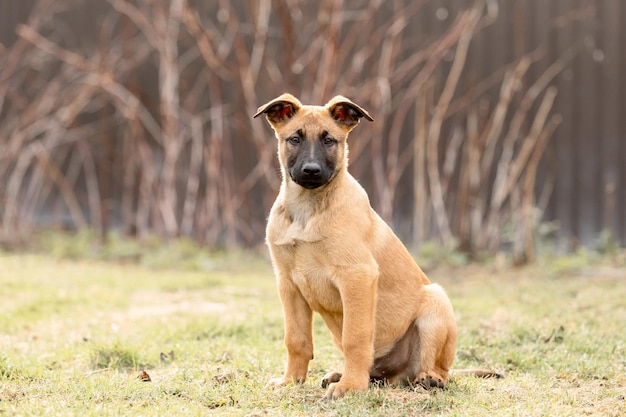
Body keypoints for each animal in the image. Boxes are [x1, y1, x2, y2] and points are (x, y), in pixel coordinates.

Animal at [254, 92, 458, 398]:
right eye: (295, 139)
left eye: (329, 140)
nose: (311, 171)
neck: (307, 210)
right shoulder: (289, 285)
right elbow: (296, 339)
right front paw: (290, 381)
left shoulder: (357, 277)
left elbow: (356, 336)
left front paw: (350, 387)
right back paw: (342, 374)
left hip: (435, 300)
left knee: (435, 368)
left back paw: (429, 378)